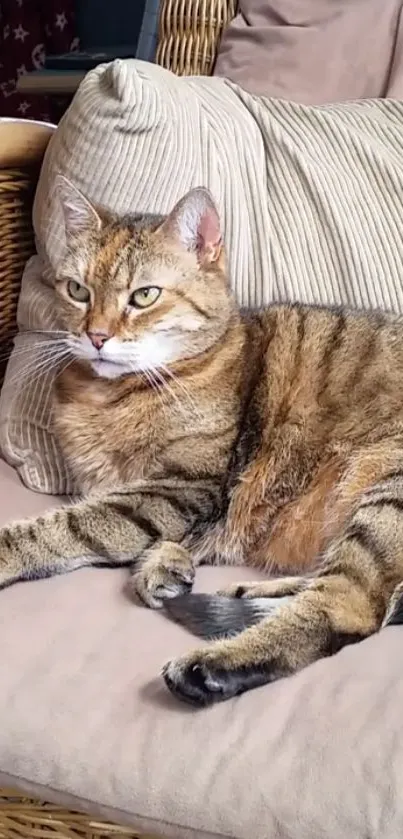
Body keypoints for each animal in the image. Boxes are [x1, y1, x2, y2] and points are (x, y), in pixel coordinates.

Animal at [2, 179, 403, 708]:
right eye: (77, 290)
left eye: (144, 296)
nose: (96, 336)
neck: (106, 396)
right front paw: (165, 565)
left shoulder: (178, 489)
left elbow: (65, 526)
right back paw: (250, 594)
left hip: (385, 489)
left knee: (352, 607)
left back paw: (212, 666)